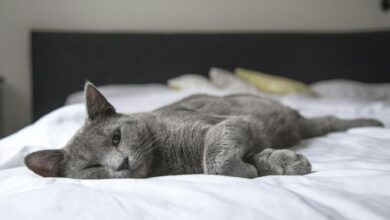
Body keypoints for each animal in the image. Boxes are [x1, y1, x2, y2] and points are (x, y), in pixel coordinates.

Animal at [25, 82, 384, 179]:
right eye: (92, 167)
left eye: (116, 137)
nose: (121, 163)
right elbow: (229, 161)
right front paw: (276, 163)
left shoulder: (224, 124)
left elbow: (213, 158)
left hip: (294, 120)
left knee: (330, 120)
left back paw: (375, 123)